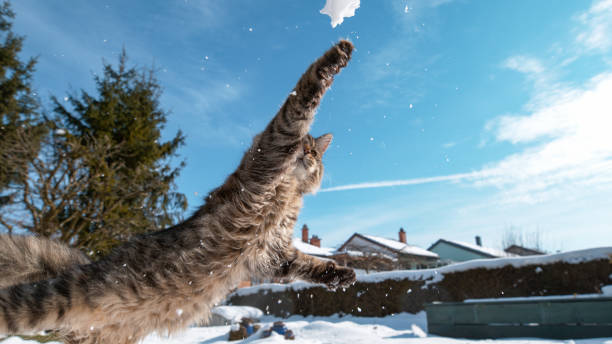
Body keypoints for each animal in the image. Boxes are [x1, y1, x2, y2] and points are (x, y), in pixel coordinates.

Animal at [0, 39, 354, 342]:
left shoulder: (273, 253)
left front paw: (342, 275)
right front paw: (338, 55)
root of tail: (87, 264)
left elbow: (307, 264)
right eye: (304, 146)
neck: (288, 190)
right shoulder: (276, 144)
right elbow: (304, 95)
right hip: (42, 301)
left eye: (315, 152)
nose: (307, 155)